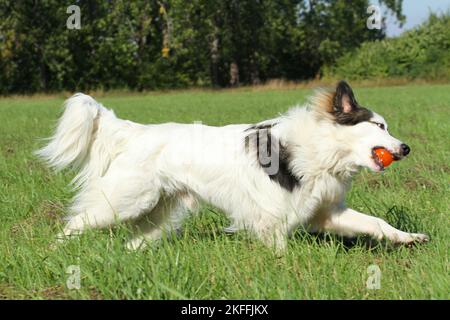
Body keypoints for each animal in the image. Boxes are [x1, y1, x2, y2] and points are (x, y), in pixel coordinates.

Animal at [36, 80, 428, 250]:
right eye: (379, 126)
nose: (406, 148)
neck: (321, 147)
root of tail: (136, 131)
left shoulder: (326, 212)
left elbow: (375, 223)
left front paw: (409, 238)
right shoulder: (271, 217)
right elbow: (279, 250)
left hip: (160, 214)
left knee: (135, 241)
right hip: (126, 201)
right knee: (76, 223)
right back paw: (54, 251)